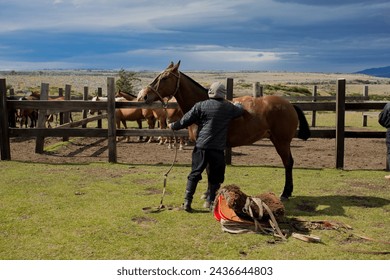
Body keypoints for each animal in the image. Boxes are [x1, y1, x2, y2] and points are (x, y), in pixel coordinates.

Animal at [139, 60, 310, 199]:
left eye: (165, 78)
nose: (144, 96)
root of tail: (289, 104)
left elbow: (209, 170)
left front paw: (209, 194)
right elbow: (209, 170)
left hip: (282, 142)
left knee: (288, 163)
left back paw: (285, 193)